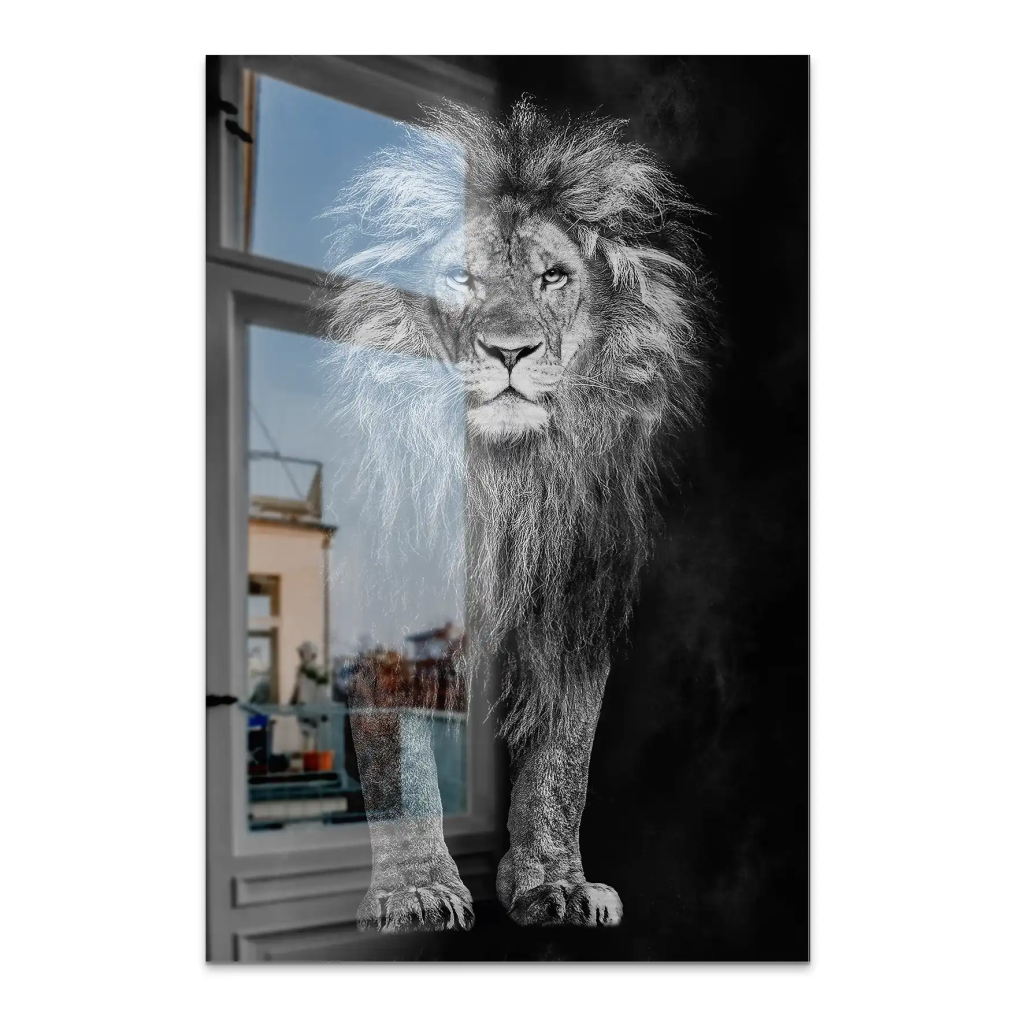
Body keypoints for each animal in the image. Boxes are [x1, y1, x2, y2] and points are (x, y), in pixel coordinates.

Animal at [320, 98, 713, 932]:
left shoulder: (574, 600)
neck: (504, 475)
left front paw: (552, 884)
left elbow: (563, 763)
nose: (510, 351)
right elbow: (400, 757)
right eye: (460, 277)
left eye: (552, 276)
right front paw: (417, 890)